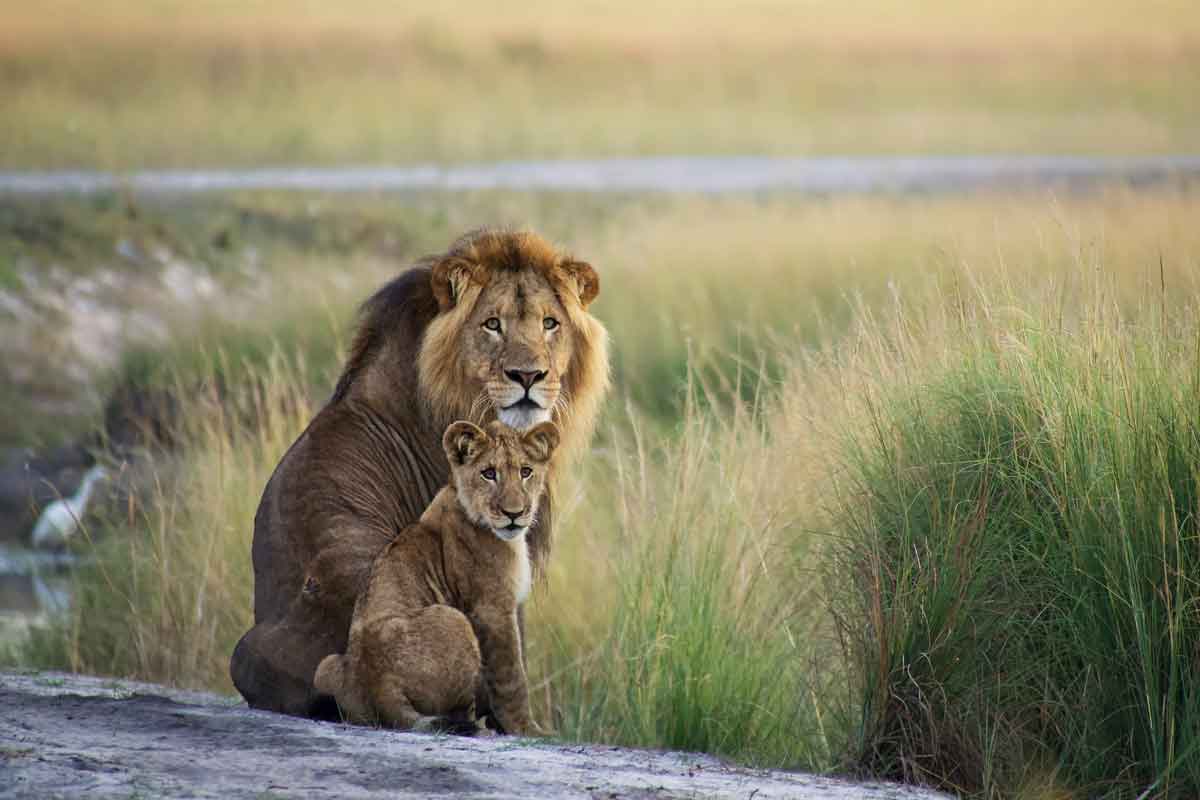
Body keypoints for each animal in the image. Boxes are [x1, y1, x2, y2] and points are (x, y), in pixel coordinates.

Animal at [309, 422, 552, 734]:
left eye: (526, 471)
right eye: (488, 473)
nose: (514, 513)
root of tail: (380, 684)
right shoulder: (492, 609)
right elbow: (512, 678)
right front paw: (527, 730)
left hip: (324, 667)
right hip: (454, 618)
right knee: (459, 710)